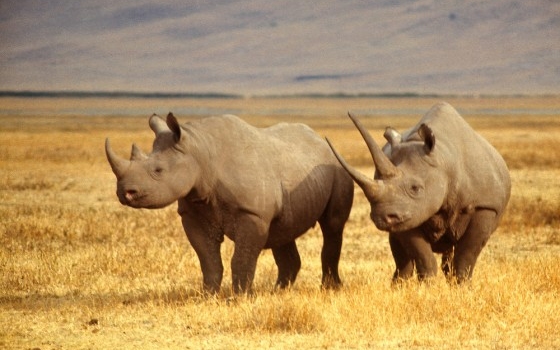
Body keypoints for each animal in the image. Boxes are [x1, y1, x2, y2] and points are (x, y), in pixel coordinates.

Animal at [105, 113, 352, 294]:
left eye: (158, 171)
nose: (124, 193)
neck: (200, 151)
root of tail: (320, 139)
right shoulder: (193, 211)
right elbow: (208, 259)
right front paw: (208, 295)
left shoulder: (252, 213)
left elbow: (242, 258)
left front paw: (241, 296)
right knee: (283, 229)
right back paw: (278, 292)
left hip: (335, 167)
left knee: (332, 226)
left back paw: (329, 289)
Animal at [328, 102, 512, 284]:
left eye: (415, 188)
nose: (382, 218)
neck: (444, 160)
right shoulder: (409, 213)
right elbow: (422, 255)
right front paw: (427, 285)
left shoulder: (486, 206)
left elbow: (467, 254)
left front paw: (462, 286)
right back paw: (399, 286)